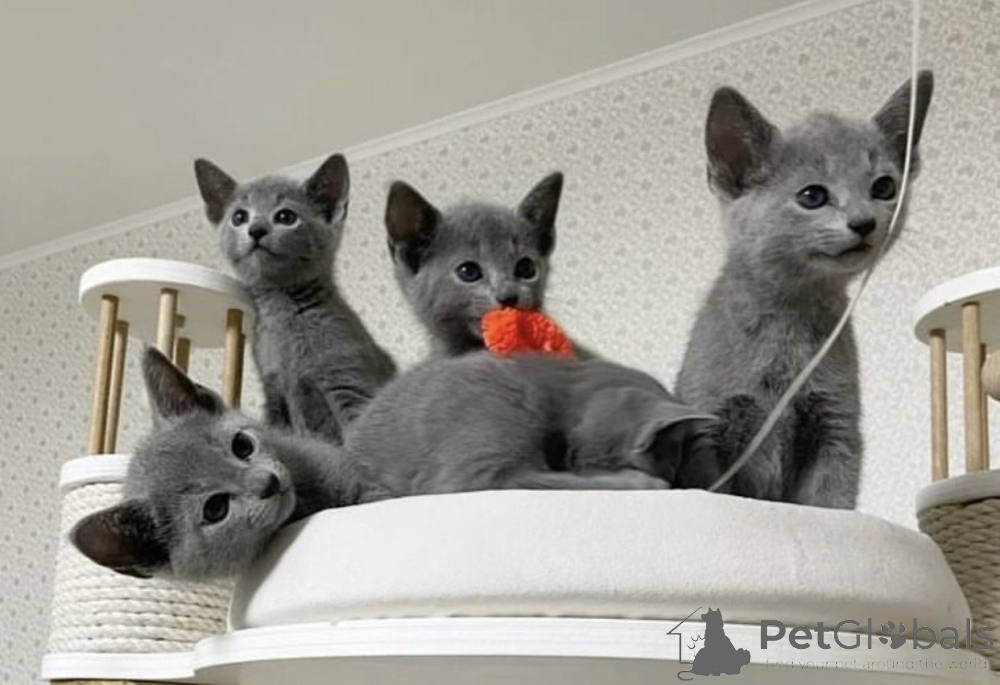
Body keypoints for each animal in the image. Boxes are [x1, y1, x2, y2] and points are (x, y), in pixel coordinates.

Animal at [194, 153, 396, 441]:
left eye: (286, 216)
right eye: (239, 217)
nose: (256, 229)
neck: (282, 311)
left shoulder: (348, 380)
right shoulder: (274, 391)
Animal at [675, 72, 934, 508]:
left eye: (884, 187)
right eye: (812, 196)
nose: (864, 222)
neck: (791, 323)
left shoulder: (837, 428)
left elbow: (831, 501)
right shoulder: (711, 425)